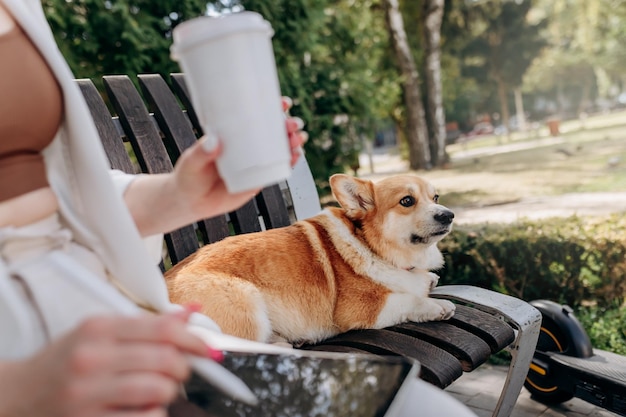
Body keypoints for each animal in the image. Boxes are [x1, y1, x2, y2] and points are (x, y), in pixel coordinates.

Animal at [165, 173, 454, 344]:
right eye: (407, 201)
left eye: (435, 197)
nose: (449, 215)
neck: (371, 246)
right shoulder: (361, 310)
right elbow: (408, 300)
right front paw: (436, 306)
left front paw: (428, 280)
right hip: (246, 303)